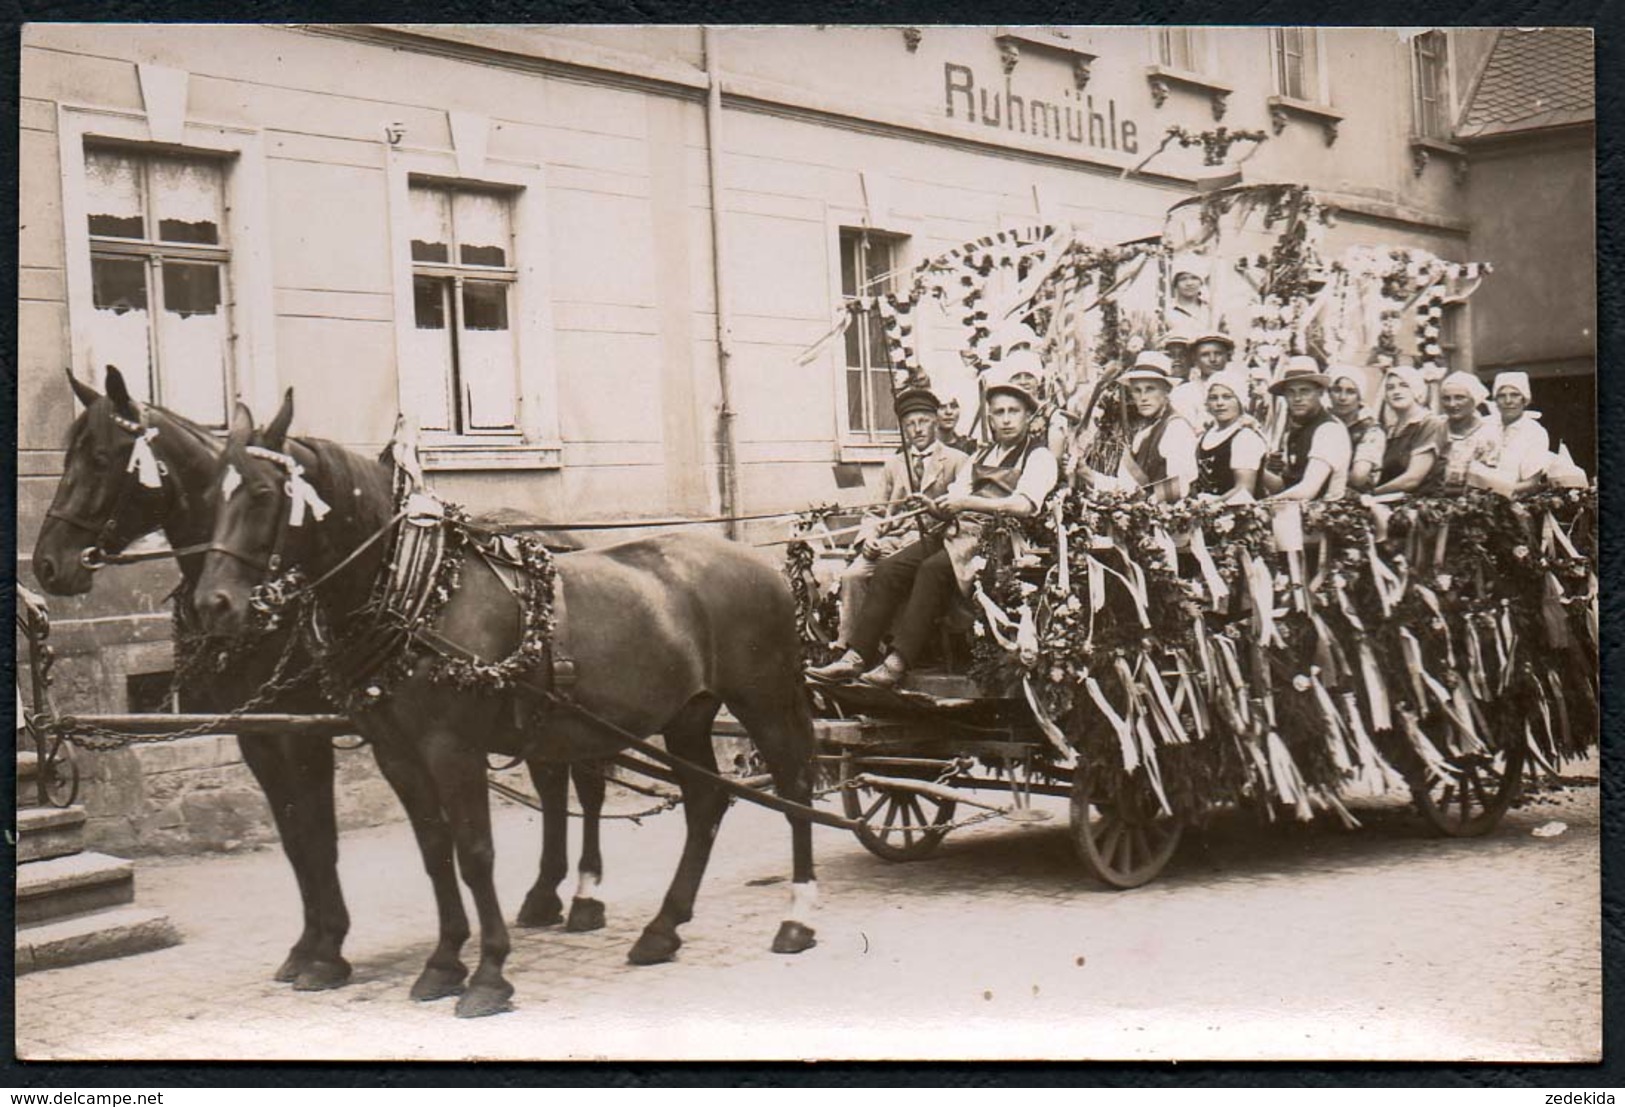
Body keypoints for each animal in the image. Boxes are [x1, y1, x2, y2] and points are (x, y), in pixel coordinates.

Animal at [34, 367, 620, 988]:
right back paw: (544, 893)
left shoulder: (304, 733)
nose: (48, 563)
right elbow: (297, 841)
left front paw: (328, 950)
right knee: (554, 782)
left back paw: (584, 895)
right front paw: (308, 945)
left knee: (586, 784)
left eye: (100, 458)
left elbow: (320, 839)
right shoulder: (259, 736)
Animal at [195, 390, 819, 1020]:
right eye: (209, 495)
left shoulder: (453, 749)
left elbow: (474, 852)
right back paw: (662, 929)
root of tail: (756, 559)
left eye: (263, 493)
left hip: (763, 700)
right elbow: (434, 851)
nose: (212, 604)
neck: (424, 594)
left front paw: (489, 973)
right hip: (689, 714)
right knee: (705, 802)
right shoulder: (397, 754)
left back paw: (797, 917)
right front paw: (444, 962)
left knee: (793, 790)